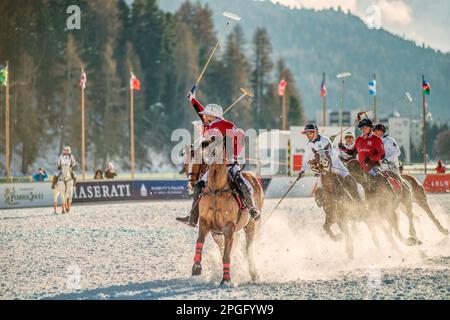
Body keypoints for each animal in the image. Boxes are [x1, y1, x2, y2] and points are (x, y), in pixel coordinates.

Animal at [184, 144, 264, 284]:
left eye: (197, 163)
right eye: (185, 164)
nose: (191, 184)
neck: (216, 189)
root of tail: (252, 176)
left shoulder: (228, 227)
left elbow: (226, 254)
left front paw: (226, 279)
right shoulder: (207, 225)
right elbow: (201, 242)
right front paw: (196, 267)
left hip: (250, 224)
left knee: (248, 248)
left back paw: (254, 274)